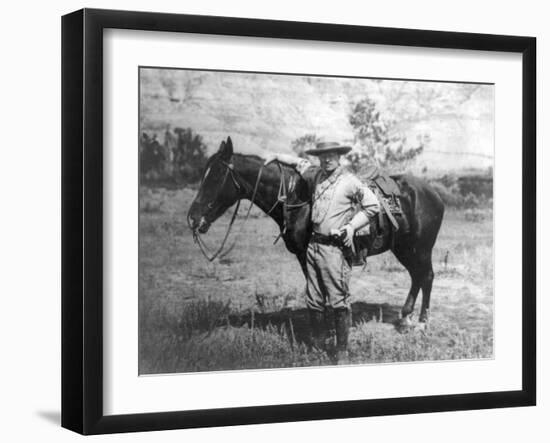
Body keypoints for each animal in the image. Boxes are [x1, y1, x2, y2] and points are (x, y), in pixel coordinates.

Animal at [188, 137, 446, 328]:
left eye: (215, 176)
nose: (192, 218)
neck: (296, 199)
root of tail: (433, 193)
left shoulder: (307, 254)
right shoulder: (306, 257)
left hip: (421, 248)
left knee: (427, 276)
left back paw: (422, 322)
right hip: (404, 248)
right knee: (416, 276)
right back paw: (405, 317)